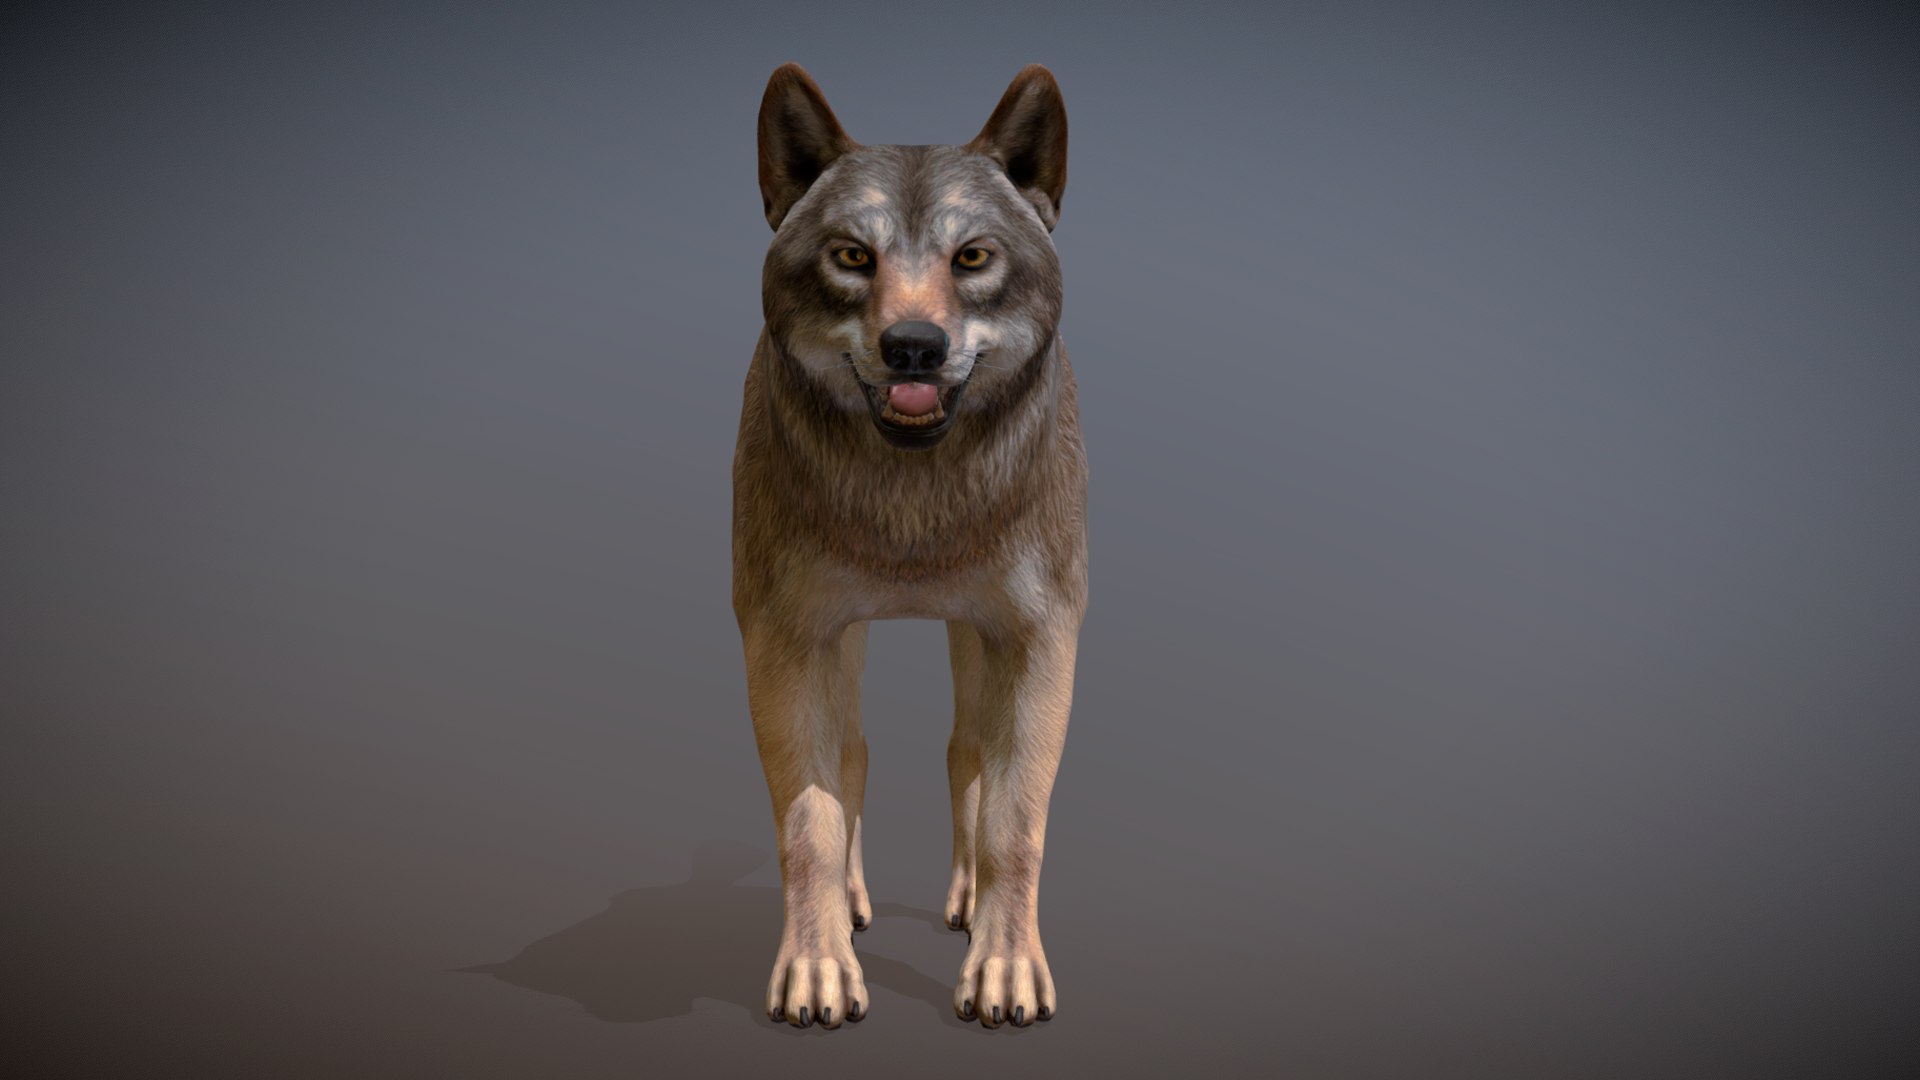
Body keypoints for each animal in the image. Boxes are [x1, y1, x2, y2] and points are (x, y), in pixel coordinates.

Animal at [732, 62, 1086, 1031]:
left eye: (972, 257)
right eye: (854, 256)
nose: (915, 347)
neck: (914, 505)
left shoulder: (1038, 639)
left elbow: (1015, 820)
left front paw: (1005, 968)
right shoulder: (786, 640)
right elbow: (810, 821)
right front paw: (818, 969)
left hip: (974, 637)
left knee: (965, 752)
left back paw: (965, 905)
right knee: (854, 755)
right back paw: (853, 909)